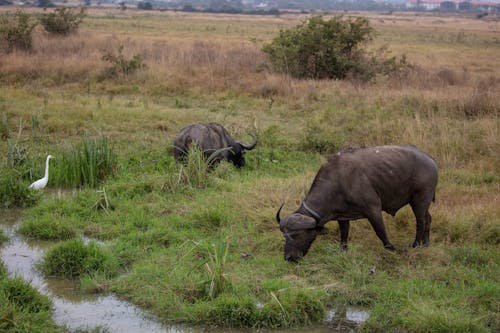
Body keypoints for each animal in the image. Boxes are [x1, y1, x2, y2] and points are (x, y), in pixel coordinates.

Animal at [278, 145, 438, 262]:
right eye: (285, 236)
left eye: (296, 235)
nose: (288, 257)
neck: (337, 182)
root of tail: (431, 160)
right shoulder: (342, 216)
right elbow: (344, 235)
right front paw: (343, 251)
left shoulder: (373, 209)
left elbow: (381, 232)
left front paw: (392, 249)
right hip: (423, 203)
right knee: (428, 218)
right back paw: (426, 244)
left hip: (419, 200)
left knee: (420, 221)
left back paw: (416, 245)